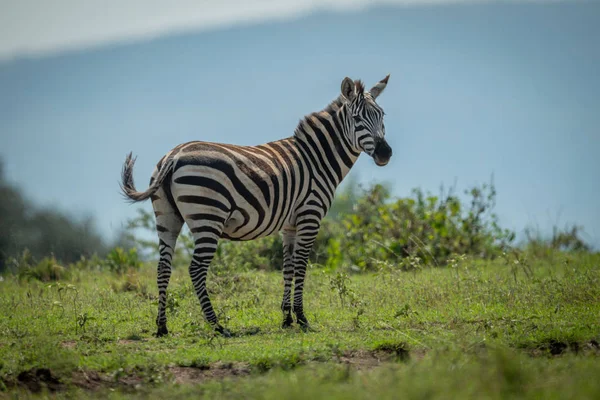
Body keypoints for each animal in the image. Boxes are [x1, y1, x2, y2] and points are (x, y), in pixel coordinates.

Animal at [120, 75, 394, 338]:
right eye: (357, 118)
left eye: (382, 115)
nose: (385, 153)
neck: (317, 159)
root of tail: (174, 155)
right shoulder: (310, 214)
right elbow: (301, 266)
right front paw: (302, 318)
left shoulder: (289, 225)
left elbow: (288, 267)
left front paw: (286, 319)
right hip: (208, 217)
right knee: (196, 269)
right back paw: (217, 325)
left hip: (166, 217)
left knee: (163, 268)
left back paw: (162, 327)